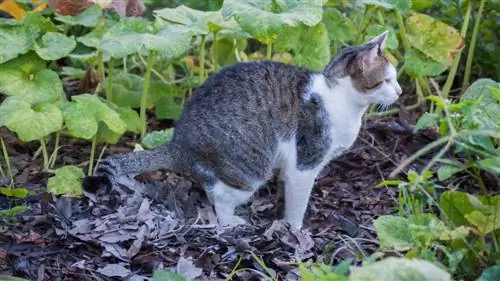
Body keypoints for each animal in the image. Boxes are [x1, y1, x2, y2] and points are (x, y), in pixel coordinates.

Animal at [82, 30, 402, 229]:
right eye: (387, 80)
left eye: (395, 78)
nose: (399, 92)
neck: (342, 100)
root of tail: (178, 143)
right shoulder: (305, 163)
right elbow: (297, 204)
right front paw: (295, 231)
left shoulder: (289, 166)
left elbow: (284, 195)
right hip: (250, 171)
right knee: (221, 199)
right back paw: (231, 223)